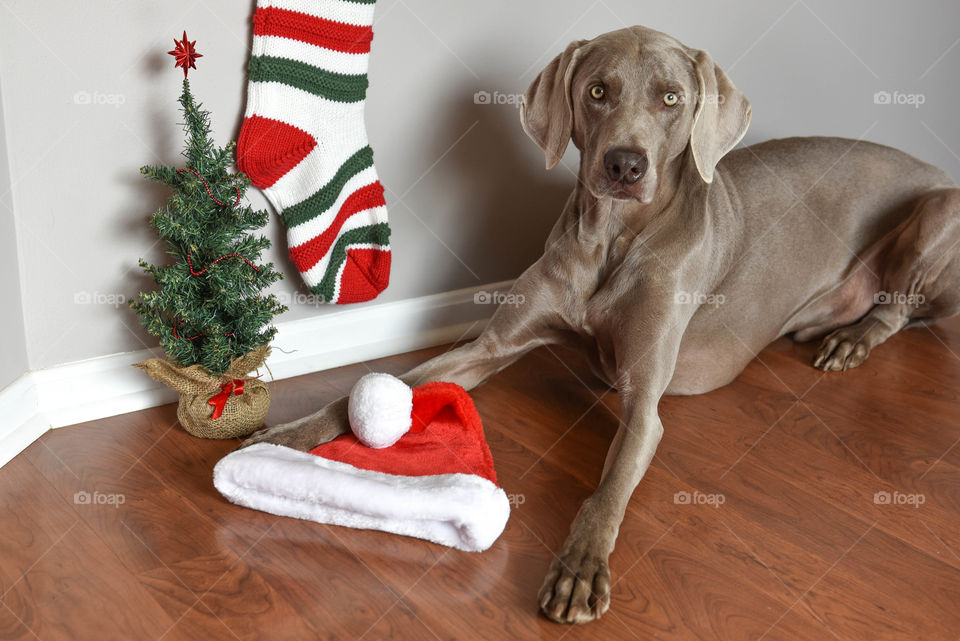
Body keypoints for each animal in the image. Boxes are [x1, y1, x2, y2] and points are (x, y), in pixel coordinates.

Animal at [246, 27, 960, 624]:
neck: (613, 240)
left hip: (939, 211)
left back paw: (851, 340)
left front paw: (580, 569)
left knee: (901, 306)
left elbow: (608, 492)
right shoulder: (492, 345)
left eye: (672, 98)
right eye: (597, 91)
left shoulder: (644, 403)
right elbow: (375, 386)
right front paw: (287, 434)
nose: (624, 165)